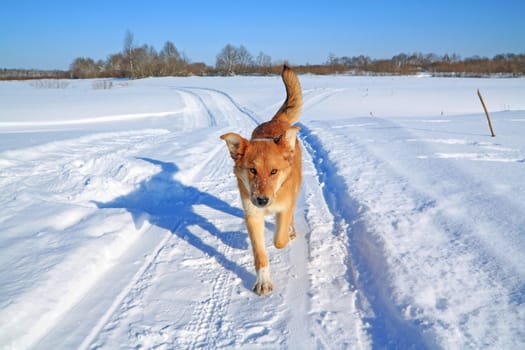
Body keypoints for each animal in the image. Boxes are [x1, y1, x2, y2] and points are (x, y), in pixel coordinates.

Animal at [219, 65, 300, 296]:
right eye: (252, 170)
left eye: (274, 171)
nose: (262, 200)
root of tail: (276, 121)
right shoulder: (252, 214)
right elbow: (260, 254)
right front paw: (263, 281)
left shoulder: (284, 205)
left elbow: (279, 239)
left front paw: (283, 236)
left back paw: (291, 231)